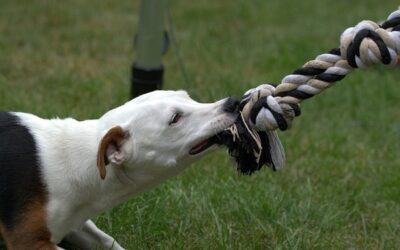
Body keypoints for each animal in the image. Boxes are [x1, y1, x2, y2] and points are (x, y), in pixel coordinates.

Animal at [0, 90, 238, 250]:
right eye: (175, 119)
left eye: (187, 97)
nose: (233, 102)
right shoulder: (27, 241)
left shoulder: (75, 224)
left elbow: (108, 241)